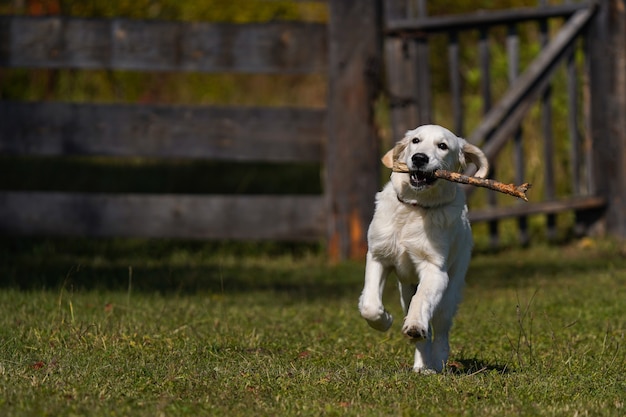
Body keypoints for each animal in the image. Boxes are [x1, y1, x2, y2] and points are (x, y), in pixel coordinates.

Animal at [356, 124, 488, 374]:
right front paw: (385, 319)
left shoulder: (435, 269)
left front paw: (416, 325)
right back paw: (422, 365)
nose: (419, 158)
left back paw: (437, 360)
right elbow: (369, 304)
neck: (414, 208)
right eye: (416, 141)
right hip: (404, 290)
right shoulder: (378, 256)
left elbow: (422, 300)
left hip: (451, 289)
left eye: (442, 146)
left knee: (441, 328)